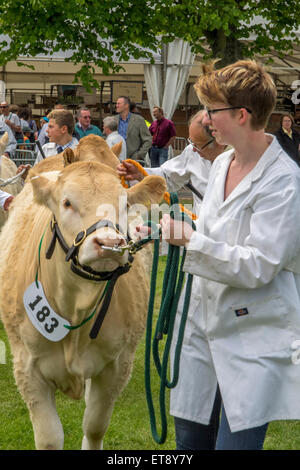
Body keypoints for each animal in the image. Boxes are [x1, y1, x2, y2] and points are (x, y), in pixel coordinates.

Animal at [0, 149, 166, 450]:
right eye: (67, 202)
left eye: (124, 204)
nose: (109, 244)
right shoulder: (27, 368)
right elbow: (50, 438)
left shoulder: (117, 366)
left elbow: (95, 427)